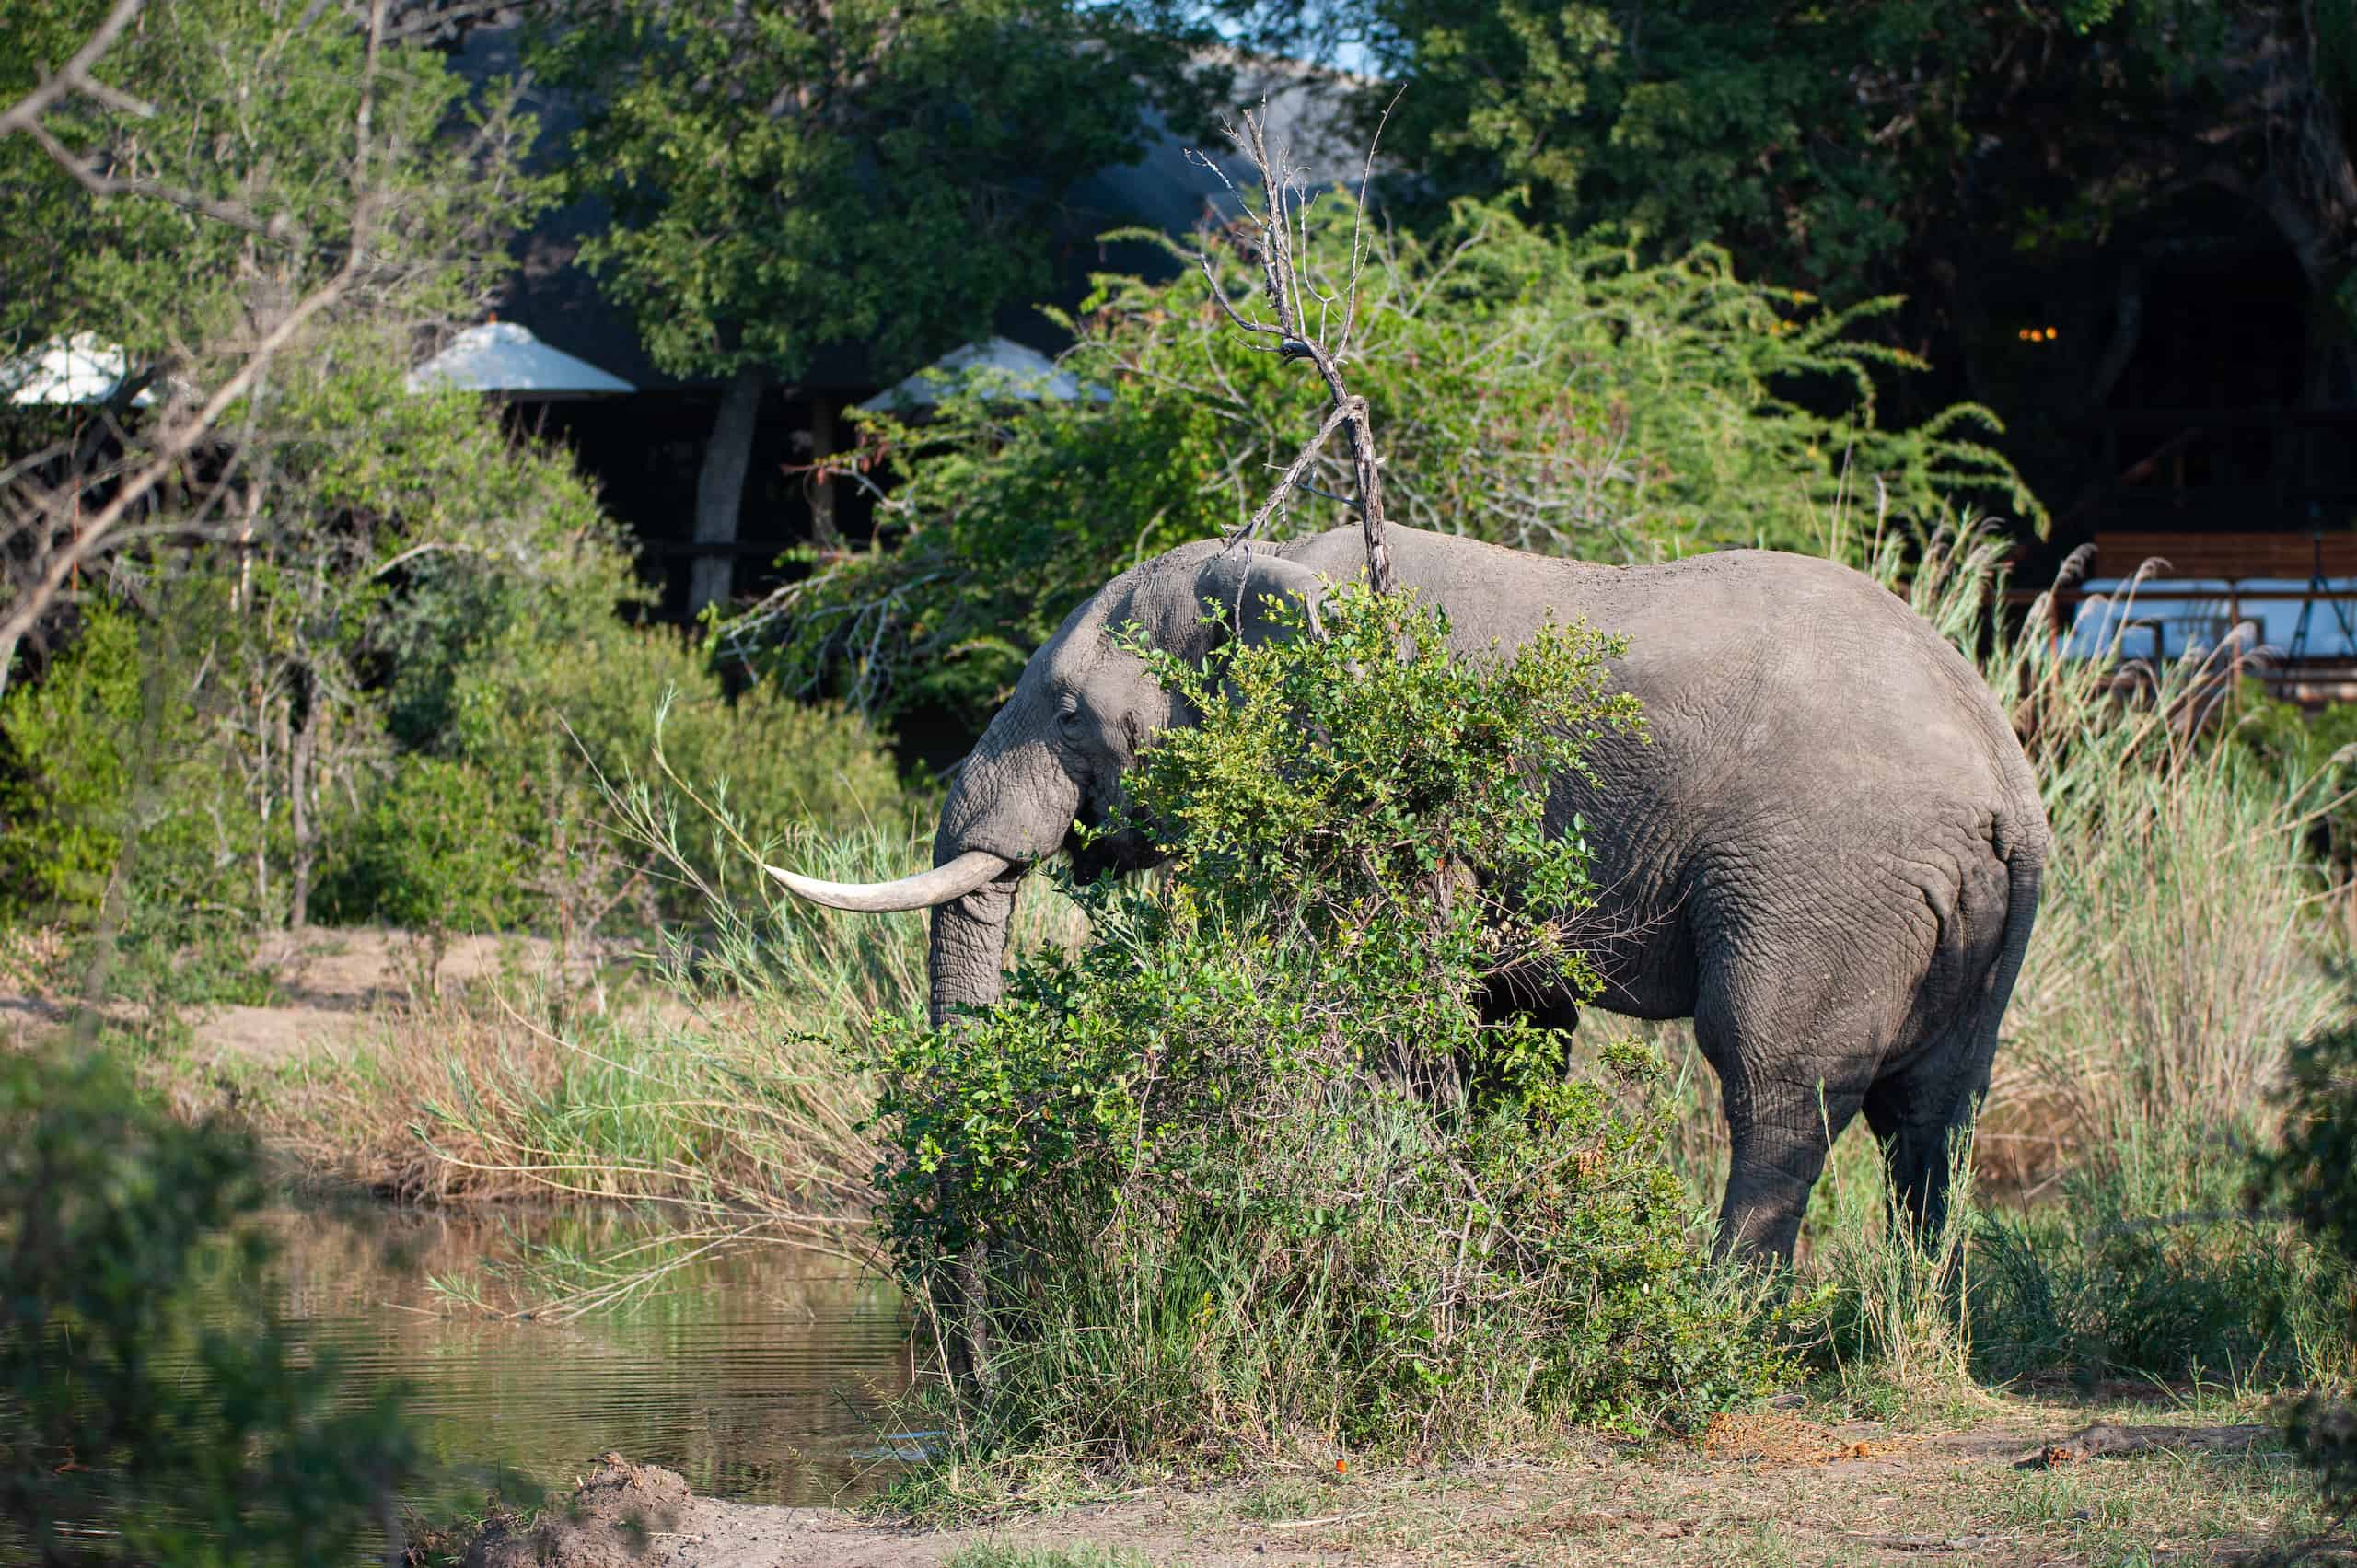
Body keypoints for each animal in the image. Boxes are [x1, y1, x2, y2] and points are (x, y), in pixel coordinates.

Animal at [772, 526, 2046, 1263]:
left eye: (1075, 714)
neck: (1272, 564)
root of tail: (2006, 779)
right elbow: (1506, 1022)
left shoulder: (1387, 776)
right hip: (1964, 912)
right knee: (1935, 1108)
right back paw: (1909, 1318)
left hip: (1820, 880)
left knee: (1776, 1084)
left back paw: (1720, 1313)